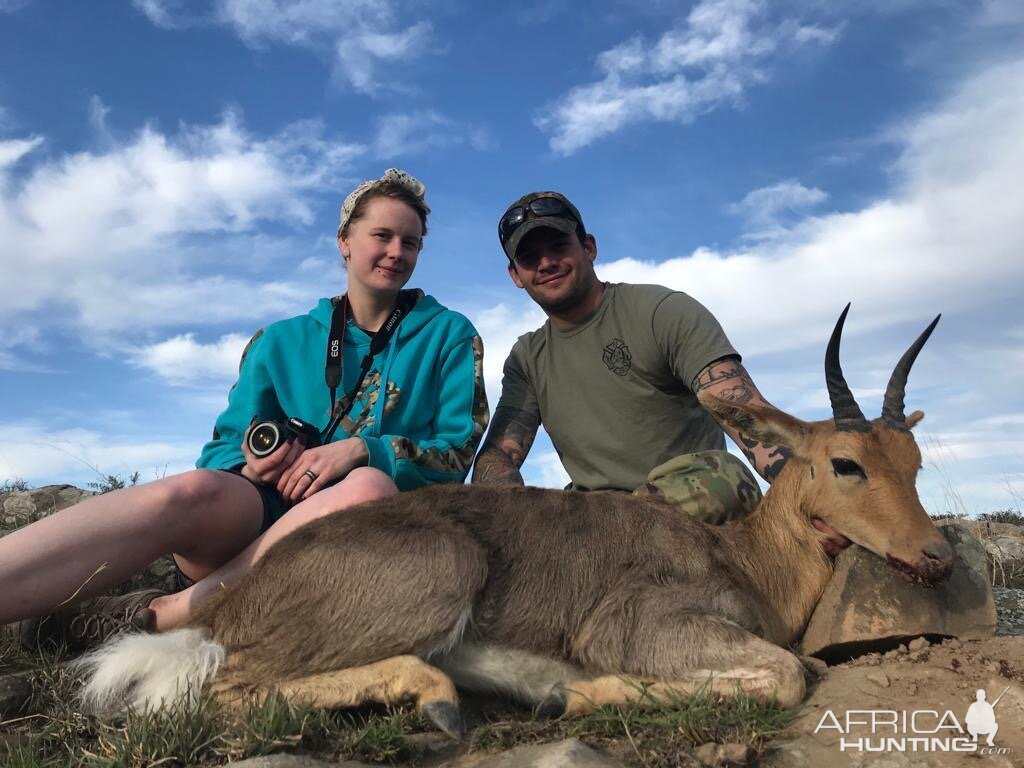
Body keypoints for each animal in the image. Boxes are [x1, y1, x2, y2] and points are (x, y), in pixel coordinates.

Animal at [79, 307, 950, 741]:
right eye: (845, 461)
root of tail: (236, 602)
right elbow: (789, 673)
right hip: (437, 576)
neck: (744, 559)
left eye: (912, 460)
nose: (937, 553)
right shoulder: (639, 627)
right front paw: (578, 697)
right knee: (225, 689)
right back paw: (437, 702)